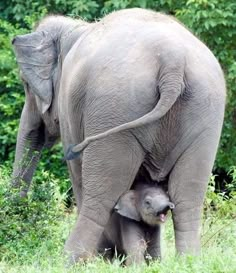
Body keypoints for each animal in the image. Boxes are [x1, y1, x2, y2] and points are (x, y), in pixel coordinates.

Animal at [12, 8, 226, 262]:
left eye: (25, 84)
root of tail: (172, 62)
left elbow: (77, 172)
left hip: (116, 108)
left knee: (99, 194)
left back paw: (72, 261)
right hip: (205, 112)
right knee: (188, 196)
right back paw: (188, 261)